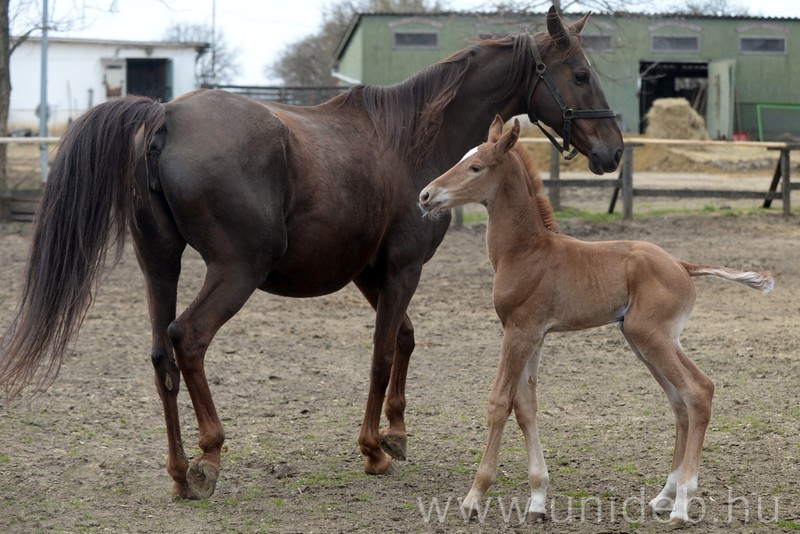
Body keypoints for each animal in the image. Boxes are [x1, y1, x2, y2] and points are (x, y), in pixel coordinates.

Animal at [0, 7, 622, 501]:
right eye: (581, 74)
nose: (614, 150)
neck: (410, 138)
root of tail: (164, 115)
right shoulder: (402, 268)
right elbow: (381, 353)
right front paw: (373, 448)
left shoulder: (370, 274)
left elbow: (404, 340)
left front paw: (396, 432)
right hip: (236, 271)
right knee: (188, 340)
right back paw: (209, 454)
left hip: (161, 265)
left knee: (161, 355)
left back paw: (179, 470)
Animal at [418, 116, 774, 526]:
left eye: (476, 167)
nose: (425, 196)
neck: (525, 251)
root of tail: (682, 265)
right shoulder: (531, 335)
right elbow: (526, 406)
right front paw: (537, 498)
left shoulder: (520, 332)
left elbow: (499, 403)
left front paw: (474, 498)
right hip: (645, 339)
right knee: (680, 400)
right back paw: (663, 497)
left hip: (650, 335)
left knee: (699, 391)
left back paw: (682, 504)